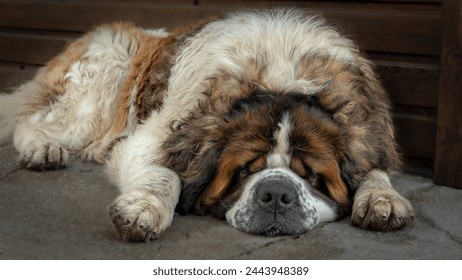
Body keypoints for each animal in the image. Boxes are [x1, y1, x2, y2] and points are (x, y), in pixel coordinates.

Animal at [0, 8, 412, 241]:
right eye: (245, 170)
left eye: (311, 175)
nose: (276, 194)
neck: (278, 79)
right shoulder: (150, 139)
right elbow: (164, 175)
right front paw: (143, 208)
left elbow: (375, 169)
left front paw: (382, 199)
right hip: (104, 76)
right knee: (29, 121)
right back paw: (43, 149)